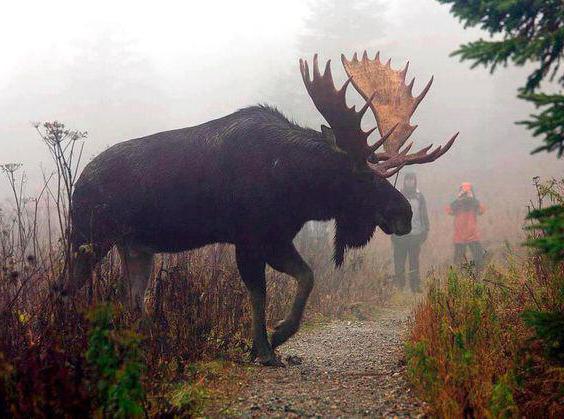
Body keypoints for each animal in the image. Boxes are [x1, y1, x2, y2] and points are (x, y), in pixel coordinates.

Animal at [70, 52, 458, 366]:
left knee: (132, 299)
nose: (405, 213)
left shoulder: (276, 237)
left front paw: (278, 335)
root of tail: (79, 182)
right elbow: (259, 293)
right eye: (359, 174)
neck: (295, 185)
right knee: (69, 287)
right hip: (88, 236)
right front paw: (265, 349)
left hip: (136, 247)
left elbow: (307, 276)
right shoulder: (249, 237)